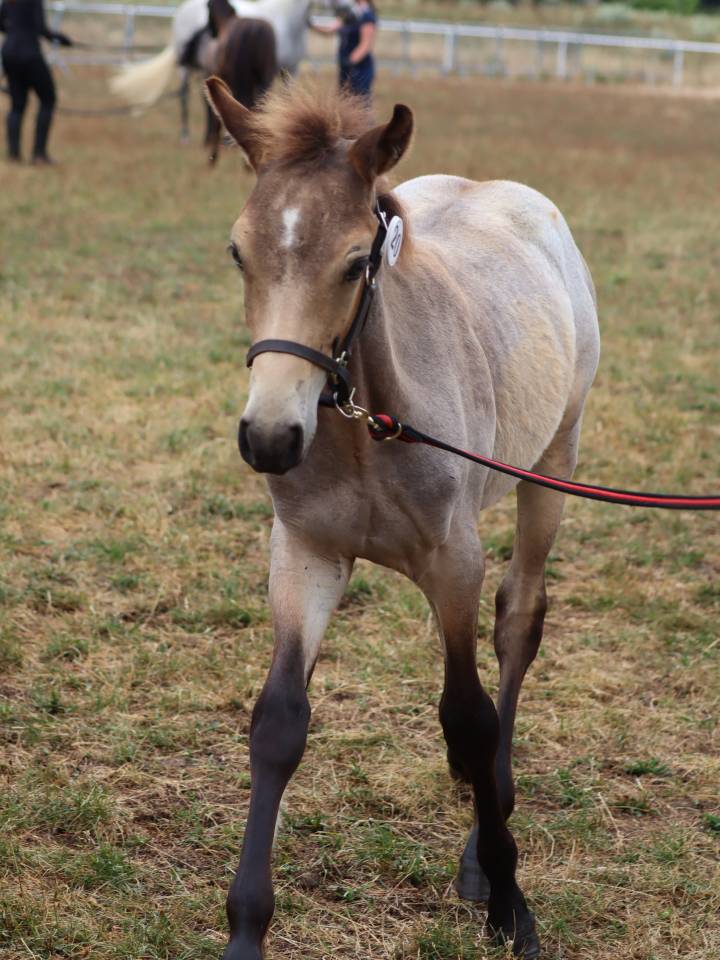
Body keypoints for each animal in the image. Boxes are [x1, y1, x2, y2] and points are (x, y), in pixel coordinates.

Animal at [204, 75, 601, 960]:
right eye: (238, 251)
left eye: (357, 262)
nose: (270, 438)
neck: (364, 427)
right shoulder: (305, 553)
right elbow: (279, 722)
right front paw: (246, 928)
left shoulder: (454, 561)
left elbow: (470, 715)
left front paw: (507, 900)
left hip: (552, 460)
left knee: (519, 622)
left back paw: (490, 819)